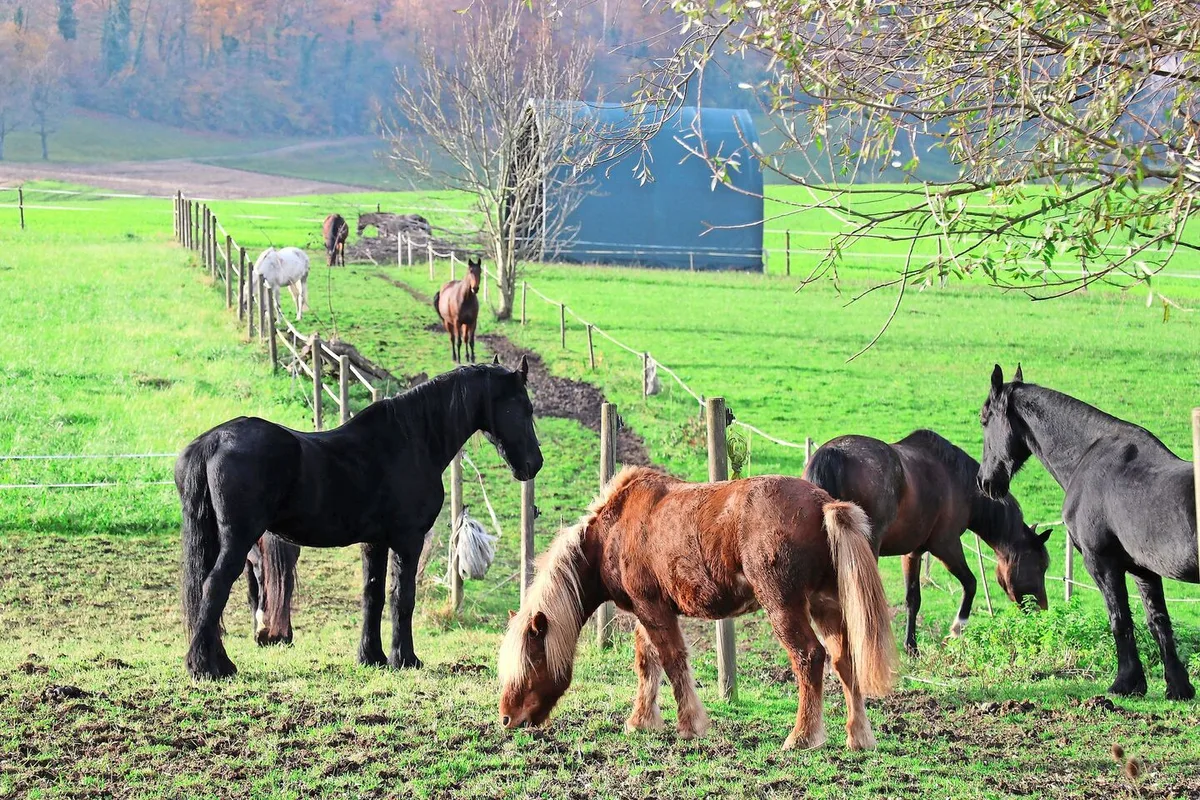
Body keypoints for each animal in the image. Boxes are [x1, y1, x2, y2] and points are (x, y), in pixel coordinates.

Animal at [175, 360, 542, 680]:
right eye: (525, 407)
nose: (534, 463)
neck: (412, 440)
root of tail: (213, 441)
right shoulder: (408, 540)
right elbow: (402, 598)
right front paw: (405, 658)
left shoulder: (374, 542)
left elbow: (373, 596)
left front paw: (372, 656)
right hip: (238, 539)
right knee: (214, 587)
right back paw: (206, 667)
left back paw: (218, 663)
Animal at [499, 466, 898, 751]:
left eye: (532, 660)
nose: (506, 718)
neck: (613, 530)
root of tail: (823, 504)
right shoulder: (649, 611)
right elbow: (647, 662)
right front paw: (642, 720)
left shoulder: (653, 610)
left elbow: (672, 661)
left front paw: (689, 725)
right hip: (825, 606)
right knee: (845, 661)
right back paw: (858, 737)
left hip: (784, 606)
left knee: (809, 658)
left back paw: (802, 737)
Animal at [805, 429, 1050, 655]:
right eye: (1041, 566)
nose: (1043, 610)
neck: (958, 483)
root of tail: (833, 454)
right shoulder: (946, 545)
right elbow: (970, 583)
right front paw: (955, 631)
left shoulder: (913, 553)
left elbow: (913, 599)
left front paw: (912, 647)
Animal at [978, 364, 1198, 700]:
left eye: (984, 419)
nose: (985, 481)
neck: (1089, 456)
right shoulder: (1143, 570)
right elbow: (1158, 621)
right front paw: (1177, 687)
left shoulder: (1101, 562)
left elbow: (1119, 619)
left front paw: (1126, 683)